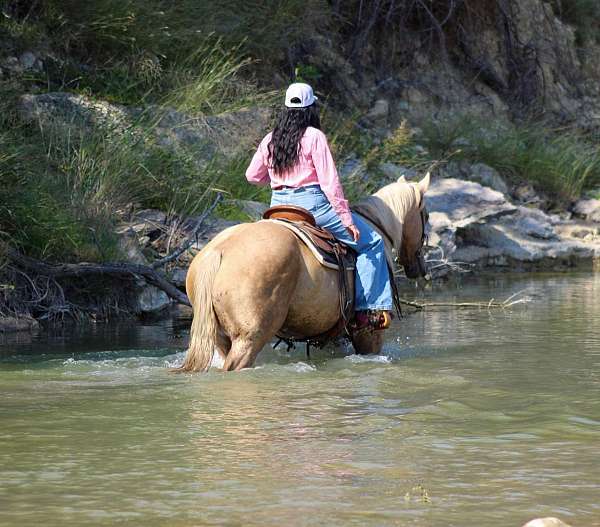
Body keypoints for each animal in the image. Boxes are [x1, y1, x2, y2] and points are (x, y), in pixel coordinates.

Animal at [179, 173, 432, 372]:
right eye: (426, 216)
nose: (420, 268)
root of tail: (219, 251)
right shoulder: (369, 331)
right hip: (250, 337)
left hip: (221, 338)